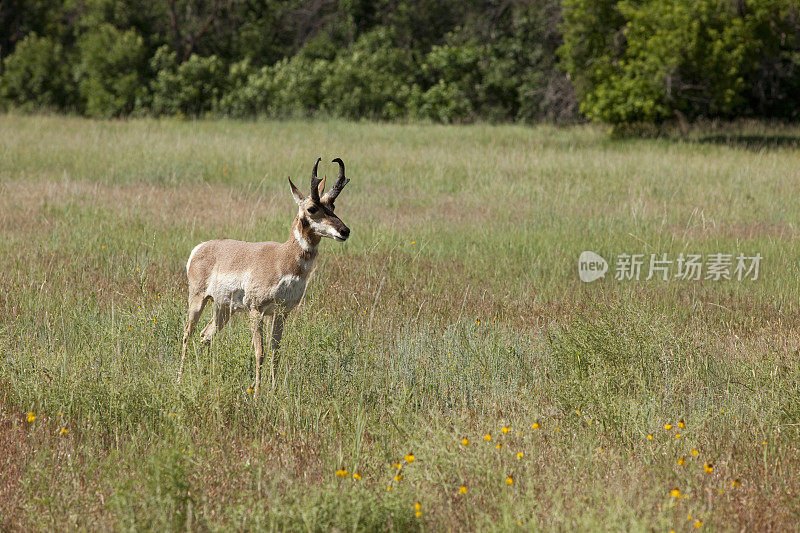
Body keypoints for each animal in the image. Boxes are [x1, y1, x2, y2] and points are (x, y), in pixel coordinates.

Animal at [180, 156, 352, 392]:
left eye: (332, 205)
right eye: (311, 208)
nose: (345, 231)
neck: (283, 258)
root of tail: (200, 247)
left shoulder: (281, 313)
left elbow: (275, 352)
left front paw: (273, 389)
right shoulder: (256, 311)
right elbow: (259, 352)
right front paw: (257, 393)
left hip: (223, 309)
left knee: (205, 335)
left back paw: (203, 375)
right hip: (198, 300)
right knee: (187, 334)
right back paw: (179, 379)